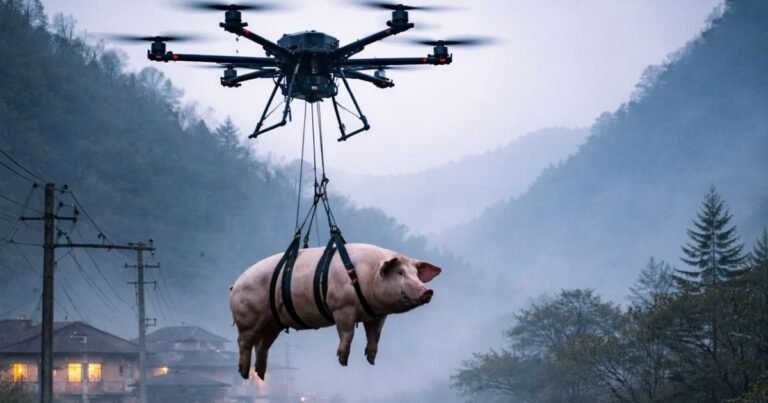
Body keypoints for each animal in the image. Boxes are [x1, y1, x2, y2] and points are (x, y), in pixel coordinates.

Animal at [230, 243, 441, 380]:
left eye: (416, 274)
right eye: (400, 273)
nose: (427, 291)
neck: (366, 275)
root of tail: (236, 283)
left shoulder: (377, 315)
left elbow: (375, 335)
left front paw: (371, 360)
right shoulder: (342, 308)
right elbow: (347, 333)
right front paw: (343, 361)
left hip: (273, 323)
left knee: (262, 345)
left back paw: (260, 374)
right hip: (247, 318)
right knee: (244, 342)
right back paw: (244, 372)